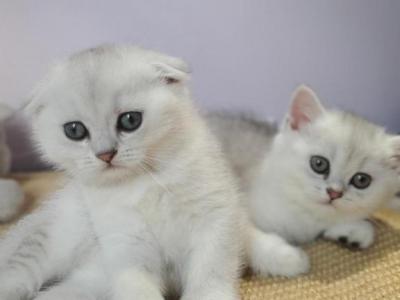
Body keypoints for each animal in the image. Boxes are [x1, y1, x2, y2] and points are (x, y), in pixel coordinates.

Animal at [0, 45, 244, 300]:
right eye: (74, 130)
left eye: (130, 120)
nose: (105, 154)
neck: (145, 181)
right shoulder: (126, 243)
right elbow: (139, 290)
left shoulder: (214, 220)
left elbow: (210, 274)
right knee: (18, 270)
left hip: (86, 283)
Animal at [208, 85, 400, 278]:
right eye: (319, 164)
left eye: (361, 180)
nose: (334, 193)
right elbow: (243, 237)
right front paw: (288, 259)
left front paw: (353, 232)